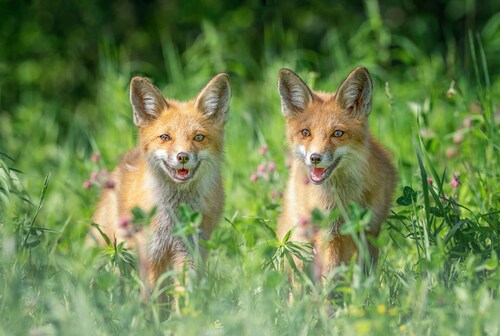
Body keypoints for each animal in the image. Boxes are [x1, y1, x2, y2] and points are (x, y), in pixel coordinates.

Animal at [90, 74, 230, 288]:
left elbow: (186, 291)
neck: (173, 216)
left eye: (198, 137)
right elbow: (152, 294)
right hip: (117, 252)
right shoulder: (151, 254)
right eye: (165, 137)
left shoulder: (188, 250)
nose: (182, 156)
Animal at [278, 67, 394, 280]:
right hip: (301, 243)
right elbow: (331, 275)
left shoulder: (369, 229)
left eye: (337, 133)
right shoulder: (329, 233)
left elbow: (365, 272)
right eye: (305, 132)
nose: (315, 157)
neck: (346, 198)